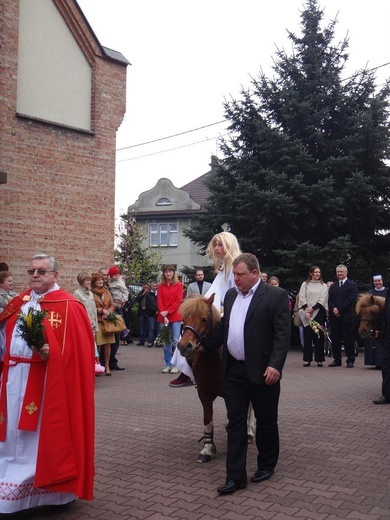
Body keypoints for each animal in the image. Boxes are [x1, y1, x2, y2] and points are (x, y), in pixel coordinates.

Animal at [177, 294, 221, 462]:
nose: (184, 346)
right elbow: (207, 419)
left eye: (204, 319)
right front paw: (207, 449)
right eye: (183, 319)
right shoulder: (203, 391)